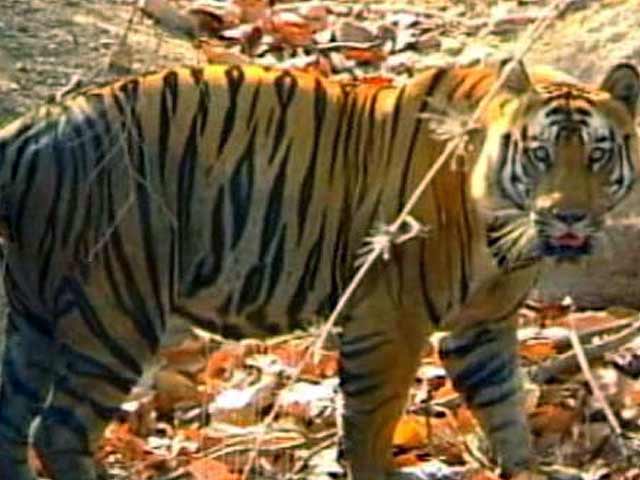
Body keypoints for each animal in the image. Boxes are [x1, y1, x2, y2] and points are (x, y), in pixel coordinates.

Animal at [0, 58, 637, 480]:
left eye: (597, 155)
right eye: (541, 154)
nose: (570, 216)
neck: (505, 236)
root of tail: (33, 126)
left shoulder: (481, 329)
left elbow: (508, 412)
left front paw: (524, 468)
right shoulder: (389, 324)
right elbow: (371, 429)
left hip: (34, 317)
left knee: (12, 423)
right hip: (115, 307)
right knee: (56, 431)